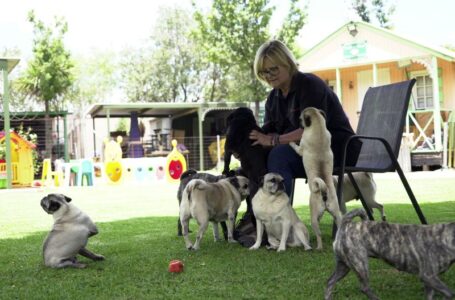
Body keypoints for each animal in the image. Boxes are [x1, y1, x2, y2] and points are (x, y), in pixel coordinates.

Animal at [292, 106, 342, 250]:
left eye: (300, 119)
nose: (299, 124)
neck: (318, 126)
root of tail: (324, 192)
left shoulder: (301, 147)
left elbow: (296, 147)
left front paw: (290, 142)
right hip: (337, 214)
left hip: (313, 217)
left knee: (318, 233)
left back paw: (319, 247)